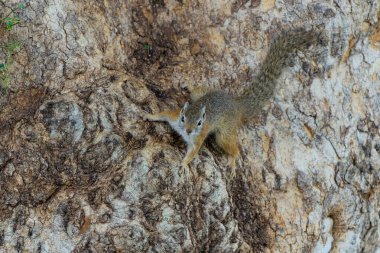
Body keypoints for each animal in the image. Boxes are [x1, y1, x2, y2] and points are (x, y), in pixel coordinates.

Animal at [144, 28, 322, 178]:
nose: (188, 130)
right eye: (183, 118)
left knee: (233, 147)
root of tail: (236, 104)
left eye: (200, 123)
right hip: (198, 95)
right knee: (195, 92)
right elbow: (164, 114)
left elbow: (192, 153)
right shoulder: (174, 116)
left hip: (224, 134)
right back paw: (189, 85)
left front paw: (184, 164)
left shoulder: (197, 139)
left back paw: (234, 160)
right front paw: (149, 115)